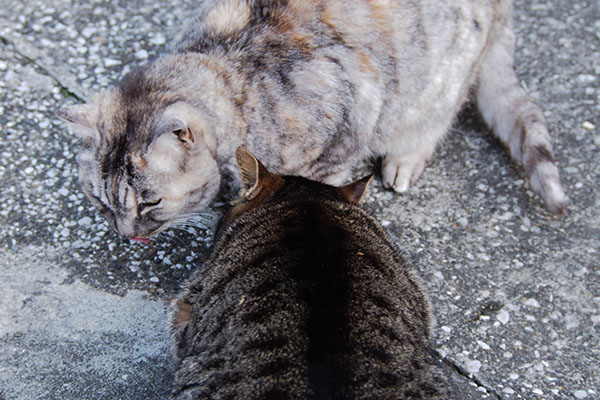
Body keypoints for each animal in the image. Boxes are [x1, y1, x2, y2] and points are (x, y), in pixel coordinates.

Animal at [56, 0, 568, 241]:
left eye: (149, 203)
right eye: (99, 201)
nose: (124, 235)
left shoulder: (350, 114)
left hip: (438, 79)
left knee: (439, 114)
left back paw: (405, 157)